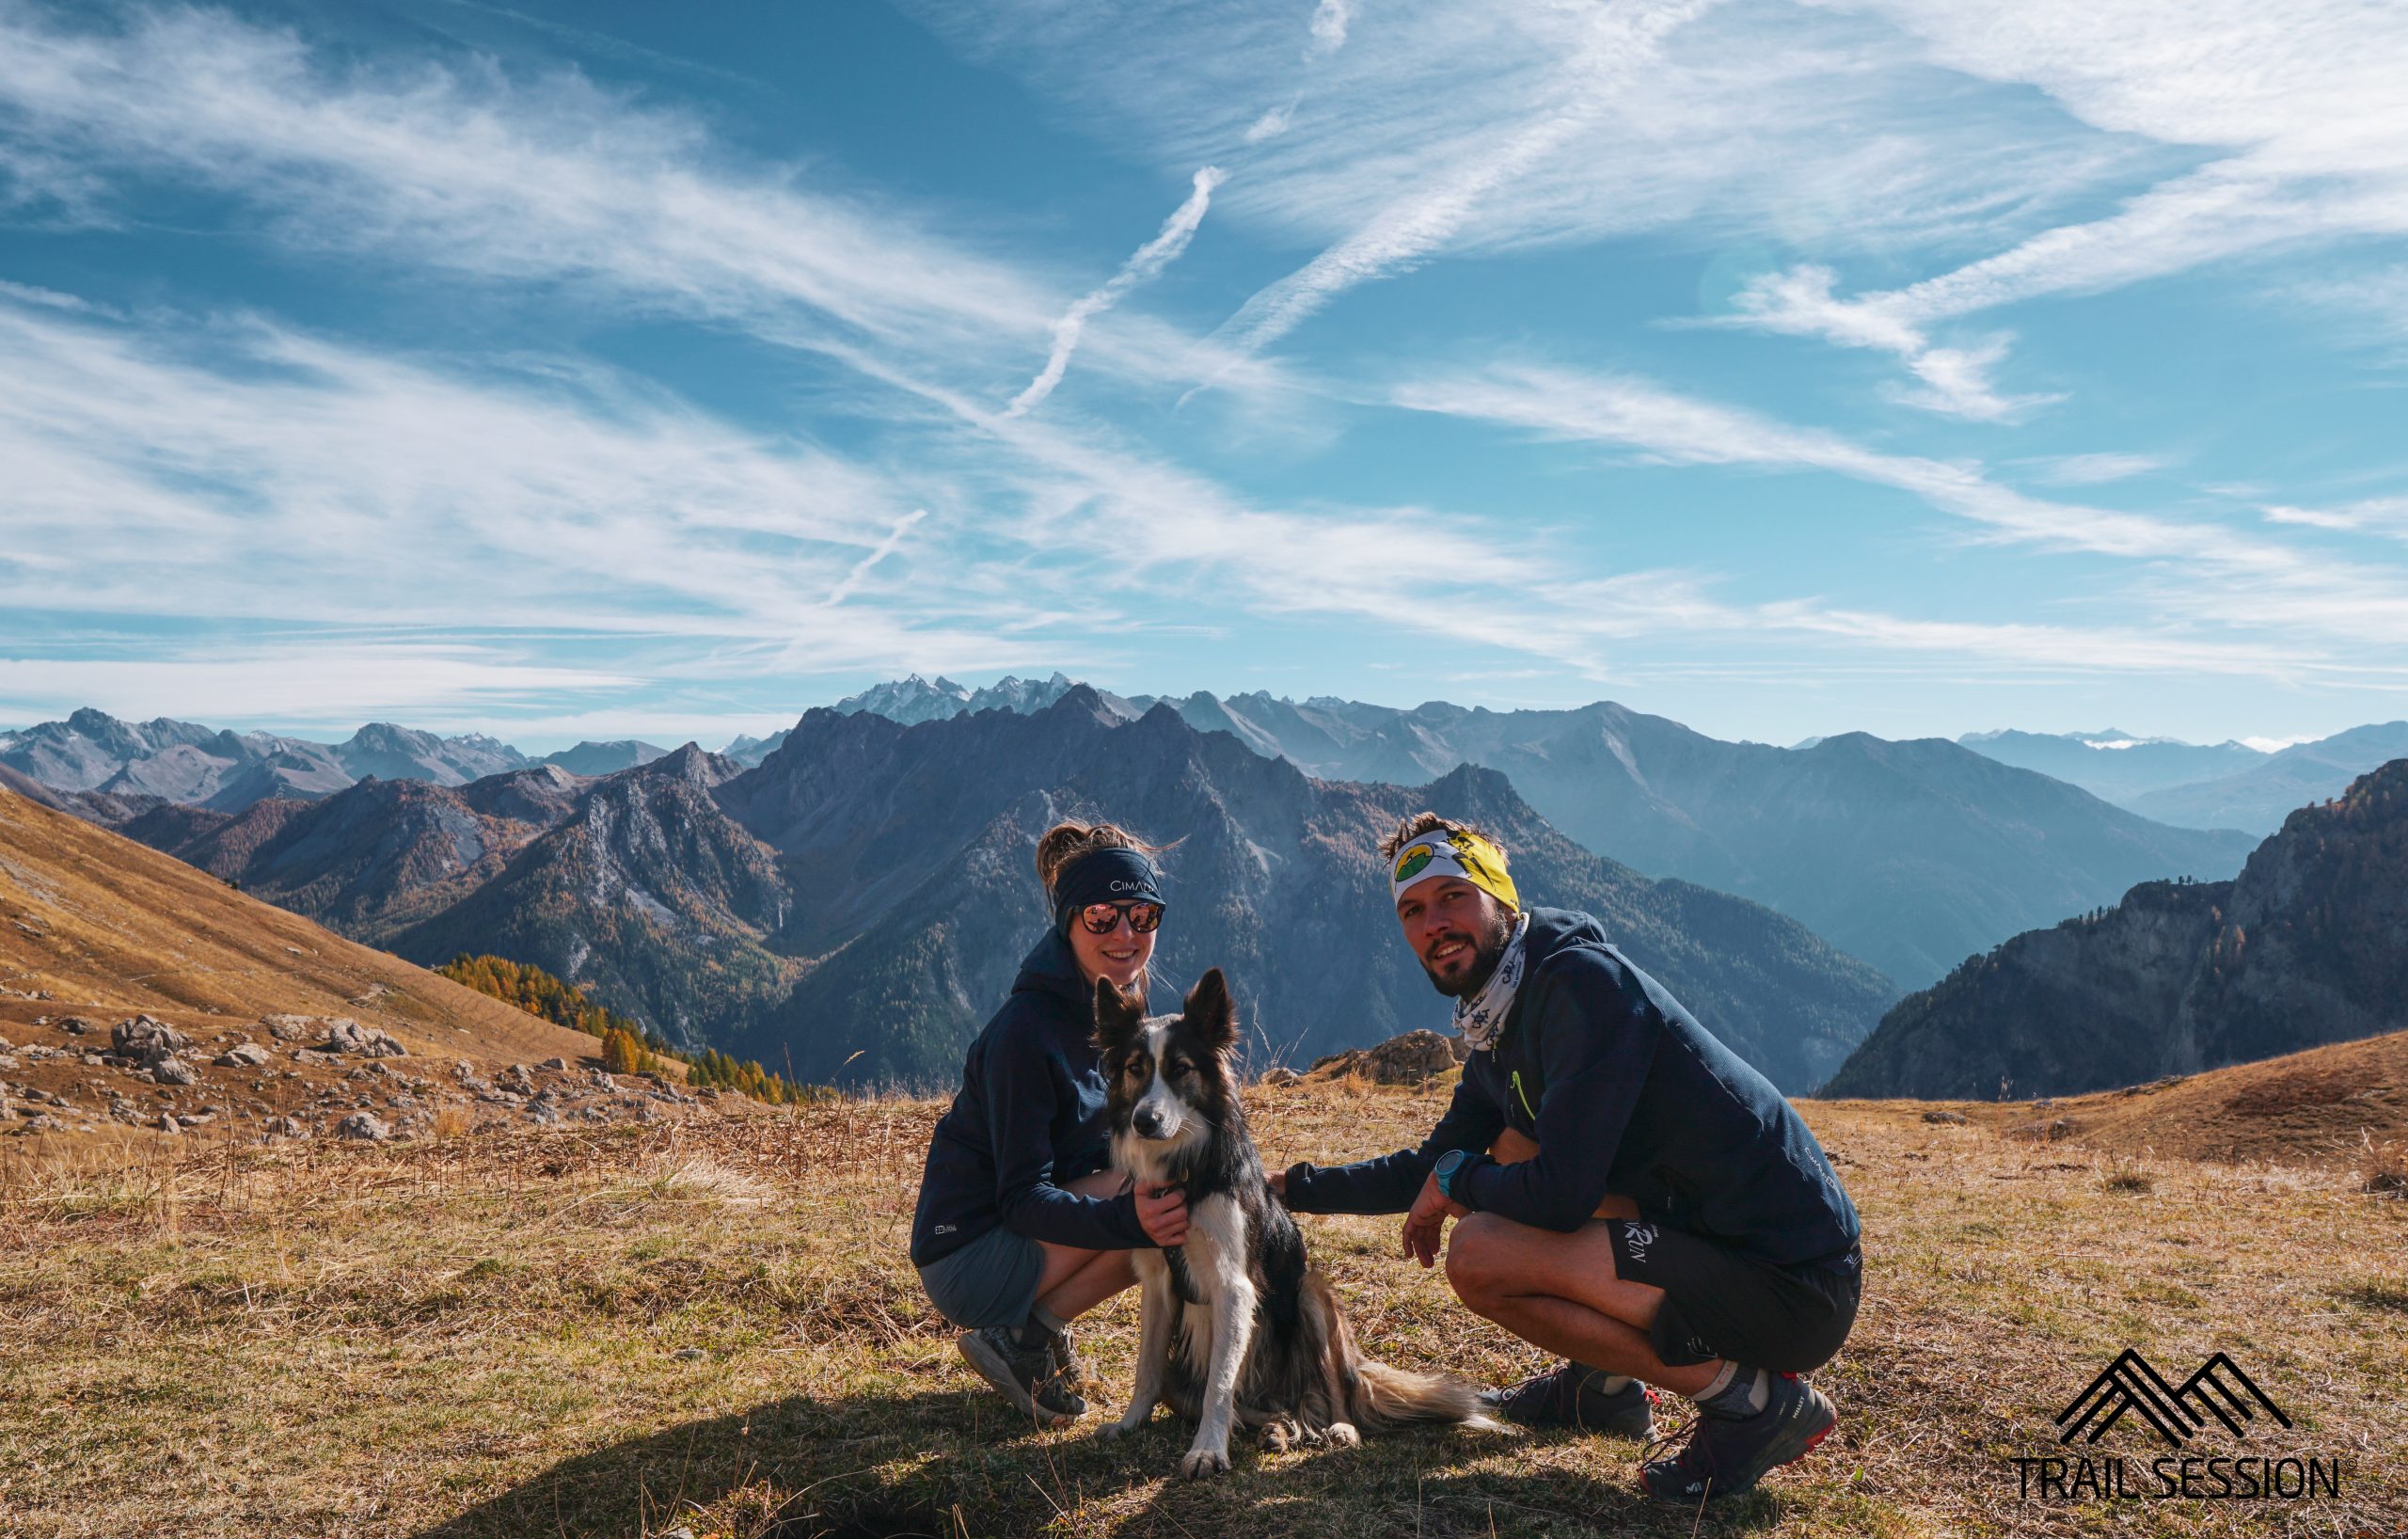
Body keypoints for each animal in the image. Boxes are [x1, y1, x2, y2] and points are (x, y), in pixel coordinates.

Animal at [1098, 968, 1482, 1483]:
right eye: (1136, 1068)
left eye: (1180, 1068)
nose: (1145, 1121)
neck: (1185, 1173)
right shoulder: (1158, 1279)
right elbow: (1147, 1368)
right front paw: (1129, 1422)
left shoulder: (1234, 1285)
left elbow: (1220, 1383)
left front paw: (1207, 1450)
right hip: (1194, 1384)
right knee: (1275, 1408)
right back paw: (1278, 1429)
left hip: (1309, 1294)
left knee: (1328, 1391)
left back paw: (1339, 1427)